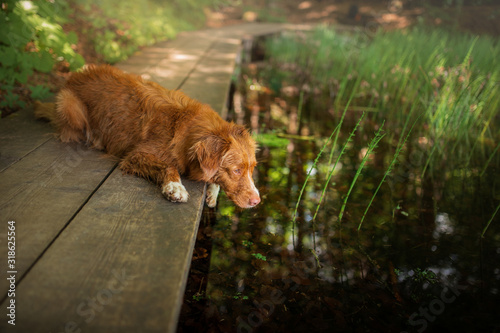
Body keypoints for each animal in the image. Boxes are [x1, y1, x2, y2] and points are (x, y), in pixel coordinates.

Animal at [35, 64, 262, 208]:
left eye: (251, 169)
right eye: (236, 170)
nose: (257, 201)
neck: (187, 129)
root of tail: (74, 76)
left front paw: (213, 193)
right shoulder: (135, 155)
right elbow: (168, 165)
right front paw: (174, 187)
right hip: (70, 105)